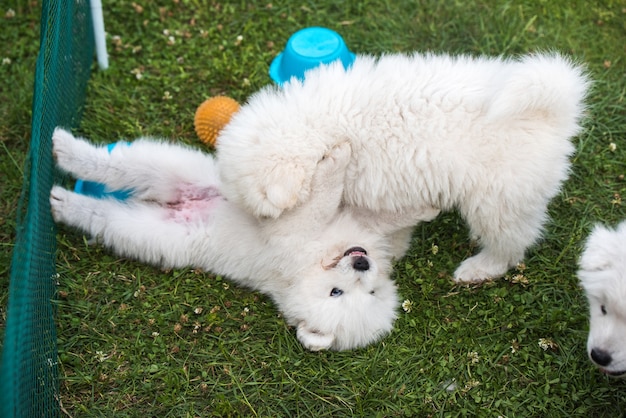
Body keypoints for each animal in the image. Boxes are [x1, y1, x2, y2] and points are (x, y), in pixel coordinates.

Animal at [48, 129, 400, 352]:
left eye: (365, 292)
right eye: (337, 292)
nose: (362, 262)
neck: (312, 263)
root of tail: (184, 205)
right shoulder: (300, 227)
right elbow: (324, 197)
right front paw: (340, 155)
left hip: (151, 231)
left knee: (105, 214)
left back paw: (62, 200)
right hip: (179, 169)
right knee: (120, 165)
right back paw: (65, 148)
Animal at [217, 50, 588, 282]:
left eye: (266, 216)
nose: (268, 237)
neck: (316, 124)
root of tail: (553, 115)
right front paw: (394, 248)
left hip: (498, 199)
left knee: (509, 245)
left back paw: (478, 269)